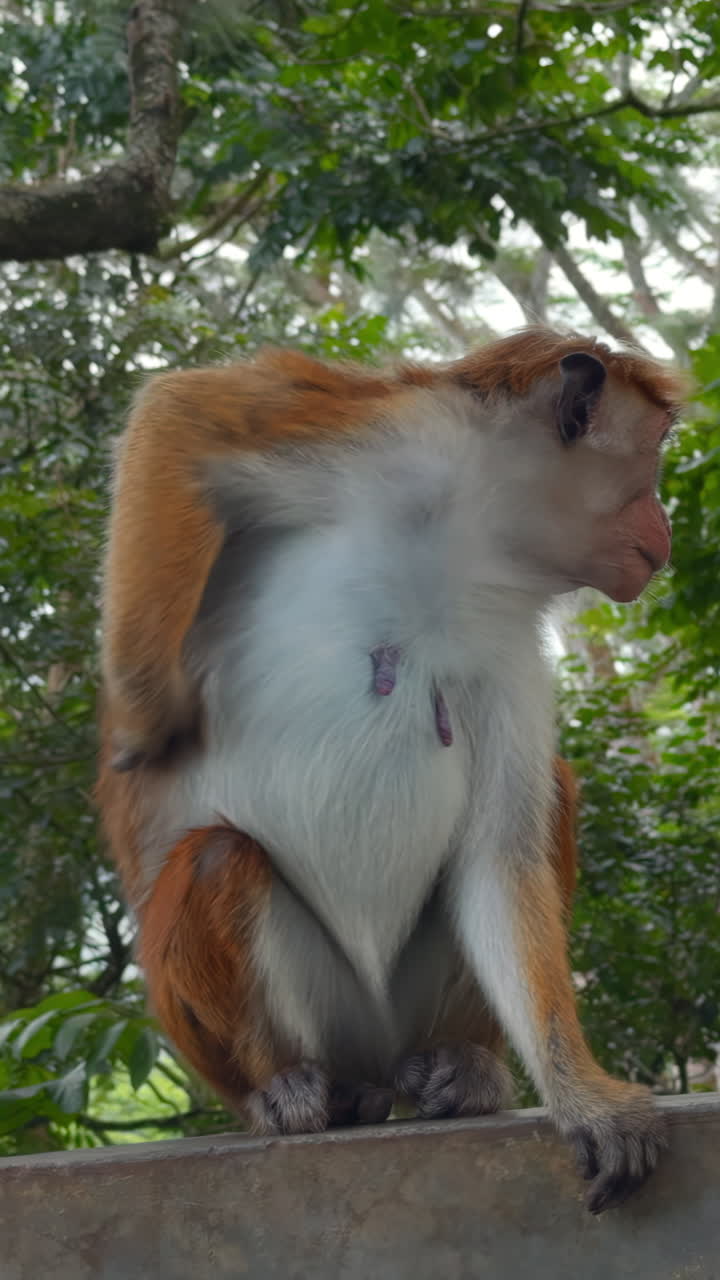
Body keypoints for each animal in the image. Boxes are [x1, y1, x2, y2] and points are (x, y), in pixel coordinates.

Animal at [97, 327, 684, 1214]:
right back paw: (288, 1089)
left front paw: (580, 1094)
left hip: (400, 1014)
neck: (466, 542)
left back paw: (462, 1067)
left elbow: (499, 858)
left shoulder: (510, 641)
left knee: (546, 799)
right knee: (217, 858)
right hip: (297, 1026)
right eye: (651, 454)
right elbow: (181, 412)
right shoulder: (393, 437)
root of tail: (374, 1061)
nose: (667, 528)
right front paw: (142, 708)